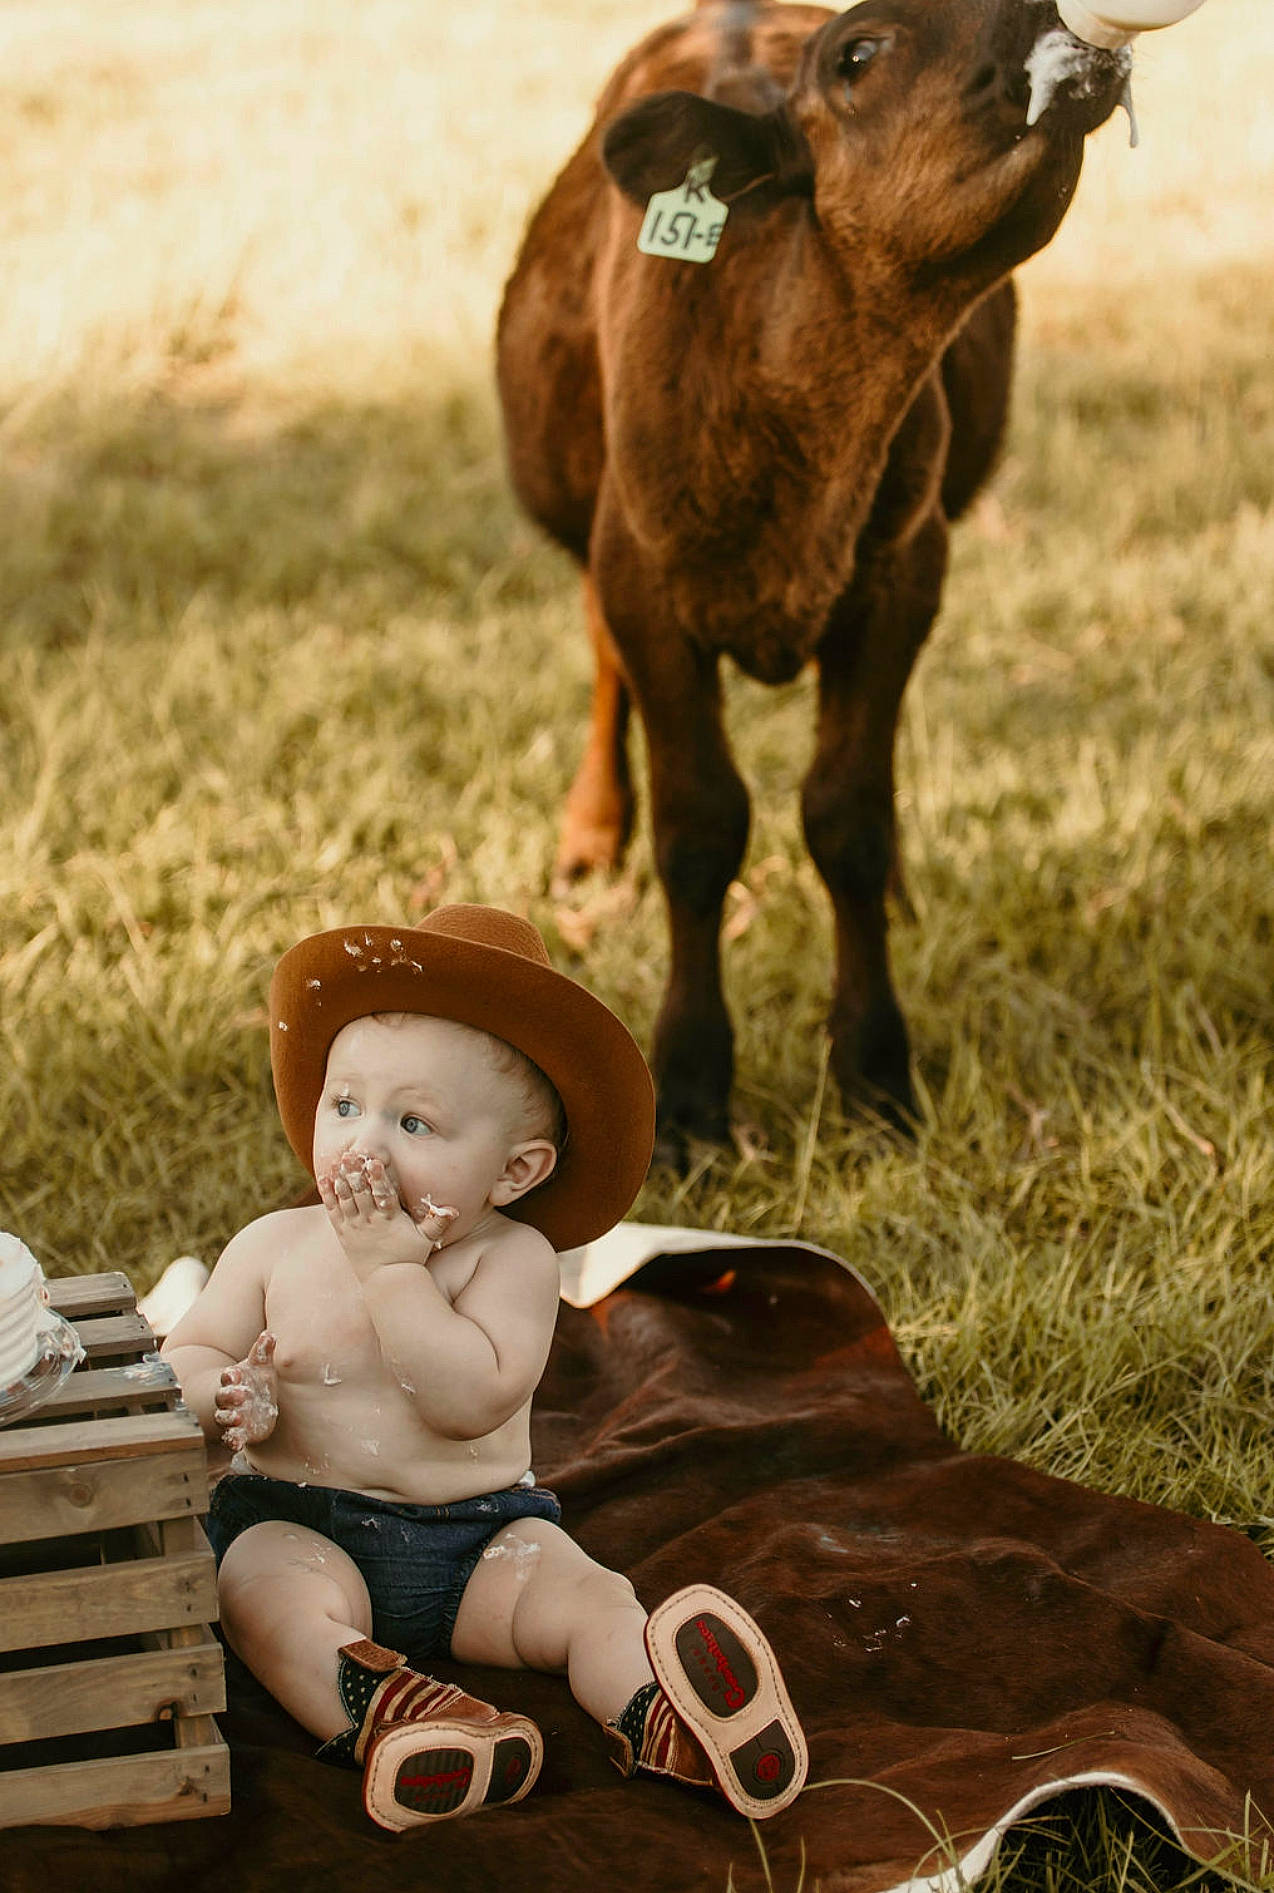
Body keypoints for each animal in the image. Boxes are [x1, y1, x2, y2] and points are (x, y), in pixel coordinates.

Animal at [497, 1, 1131, 1162]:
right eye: (856, 55)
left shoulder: (902, 577)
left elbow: (848, 820)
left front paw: (876, 1073)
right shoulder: (644, 581)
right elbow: (699, 827)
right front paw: (689, 1093)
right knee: (599, 661)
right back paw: (588, 836)